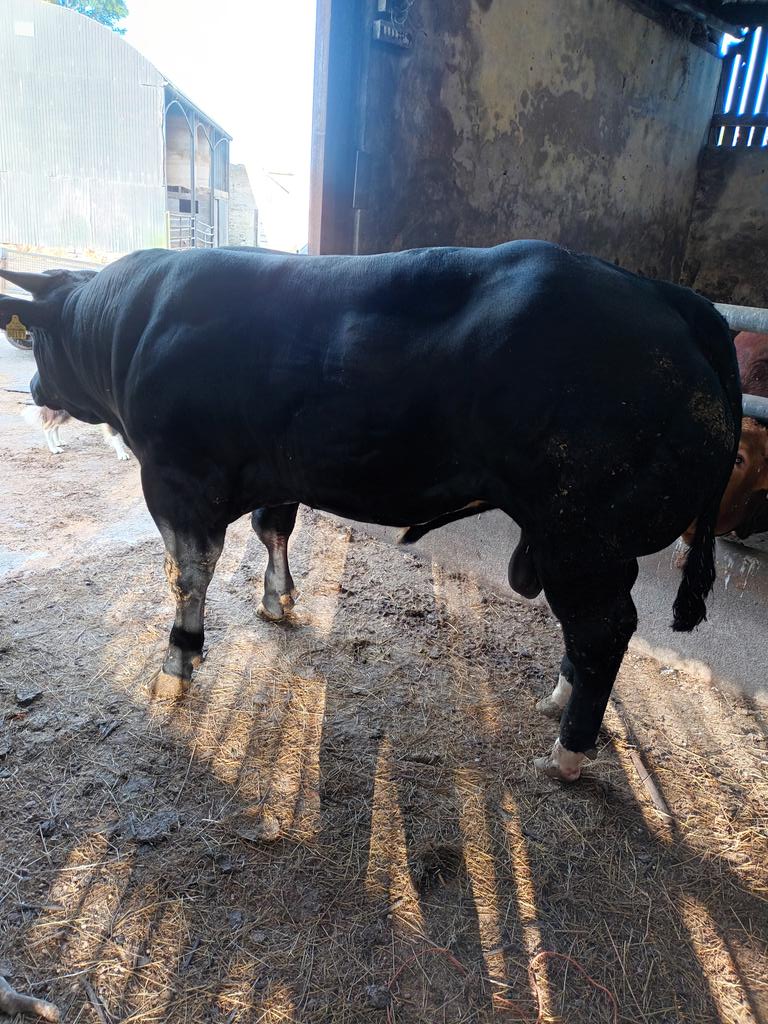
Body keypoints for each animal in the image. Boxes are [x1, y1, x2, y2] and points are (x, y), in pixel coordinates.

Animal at [0, 241, 741, 782]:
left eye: (36, 342)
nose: (31, 387)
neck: (133, 326)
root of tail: (670, 296)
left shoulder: (177, 476)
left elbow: (188, 572)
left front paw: (178, 660)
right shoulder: (277, 467)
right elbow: (273, 530)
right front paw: (278, 600)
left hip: (579, 531)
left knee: (604, 628)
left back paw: (568, 751)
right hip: (592, 541)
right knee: (598, 629)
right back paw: (562, 697)